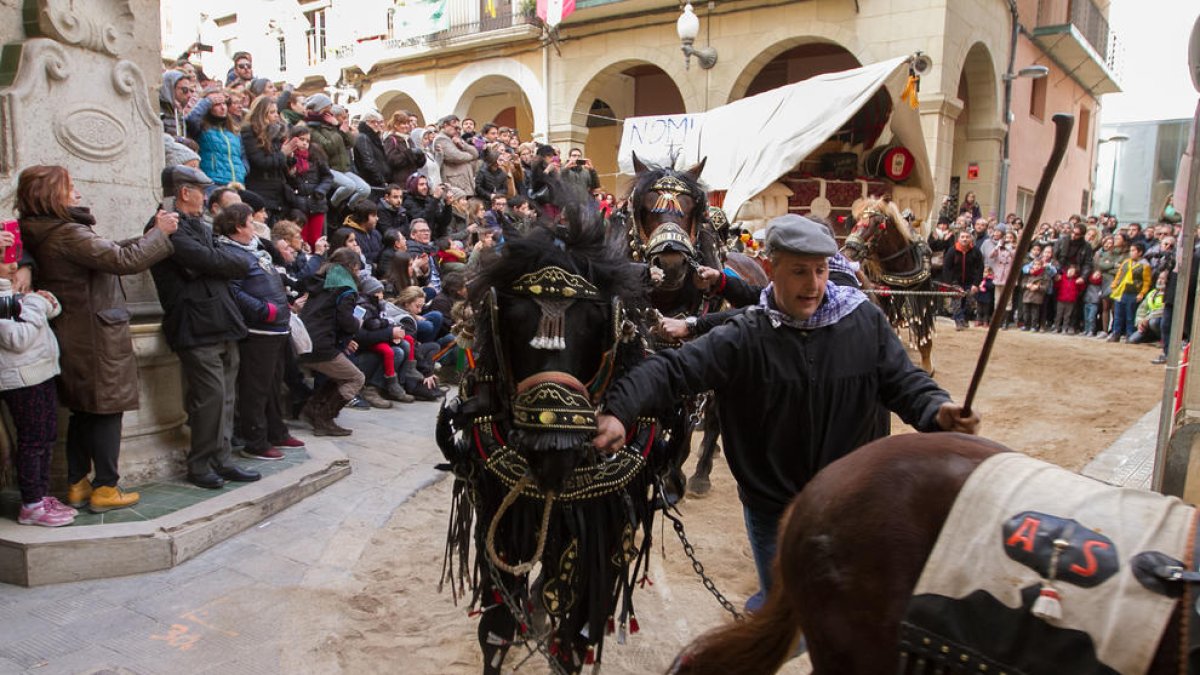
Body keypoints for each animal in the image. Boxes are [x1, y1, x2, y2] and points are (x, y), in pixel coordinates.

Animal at [436, 193, 681, 667]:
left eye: (595, 323)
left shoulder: (602, 537)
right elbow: (496, 627)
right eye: (512, 321)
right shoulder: (501, 521)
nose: (553, 448)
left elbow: (574, 639)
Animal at [844, 194, 936, 372]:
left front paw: (928, 366)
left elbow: (925, 339)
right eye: (856, 221)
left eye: (877, 223)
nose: (849, 250)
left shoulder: (921, 296)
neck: (901, 267)